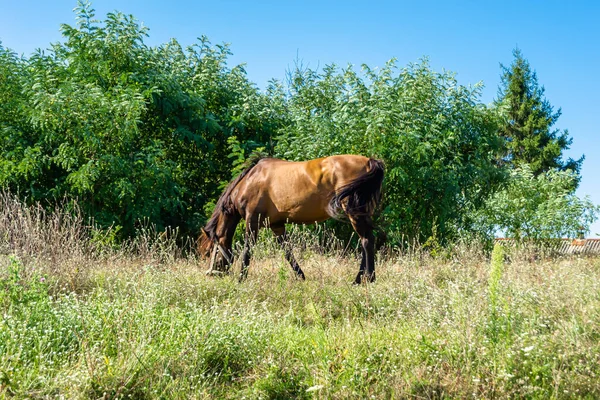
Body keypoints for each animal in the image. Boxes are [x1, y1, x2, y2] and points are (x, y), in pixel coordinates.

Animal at [198, 155, 384, 284]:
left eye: (208, 252)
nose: (212, 275)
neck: (250, 180)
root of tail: (370, 161)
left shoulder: (252, 220)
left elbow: (247, 250)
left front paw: (241, 279)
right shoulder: (277, 226)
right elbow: (288, 252)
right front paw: (301, 276)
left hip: (354, 214)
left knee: (367, 241)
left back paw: (365, 279)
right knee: (366, 241)